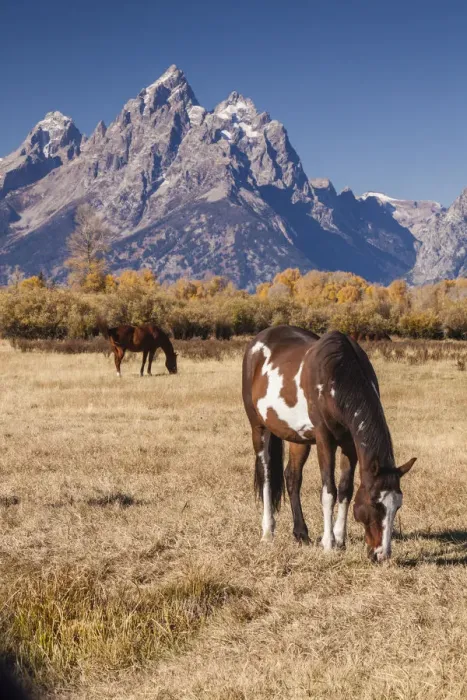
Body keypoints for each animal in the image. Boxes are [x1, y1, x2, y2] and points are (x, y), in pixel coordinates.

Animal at [242, 325, 416, 562]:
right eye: (374, 503)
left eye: (397, 505)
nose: (381, 555)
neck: (336, 376)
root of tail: (257, 341)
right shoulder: (325, 439)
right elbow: (329, 491)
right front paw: (329, 543)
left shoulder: (349, 444)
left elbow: (345, 490)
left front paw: (340, 539)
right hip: (259, 428)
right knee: (266, 475)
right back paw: (268, 532)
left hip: (299, 438)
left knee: (292, 478)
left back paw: (301, 534)